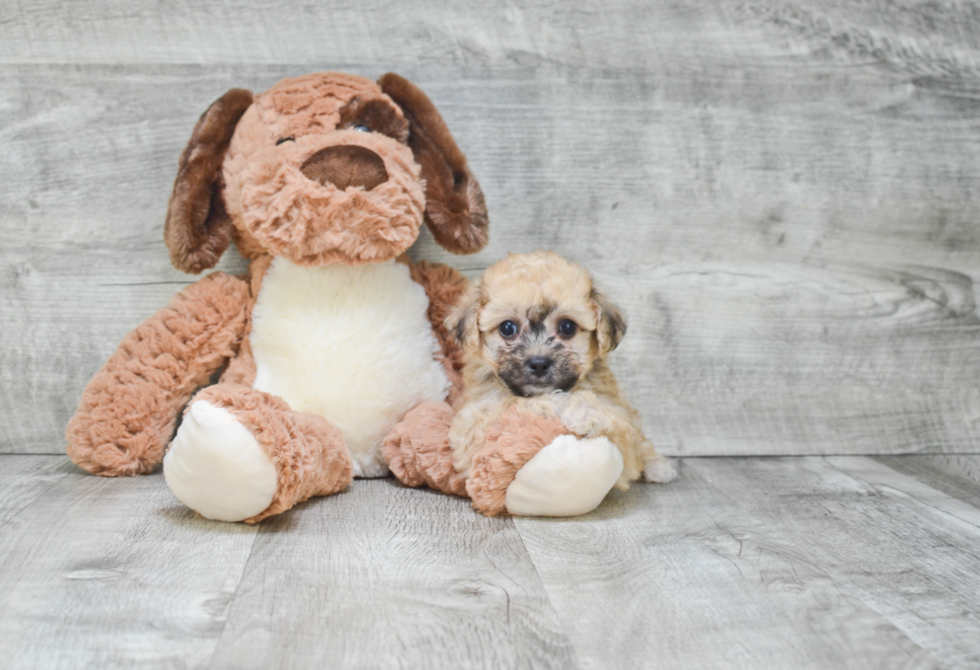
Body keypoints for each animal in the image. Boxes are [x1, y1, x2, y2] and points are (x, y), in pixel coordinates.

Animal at [450, 249, 672, 490]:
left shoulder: (622, 433)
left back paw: (657, 465)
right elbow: (510, 404)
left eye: (567, 327)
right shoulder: (471, 426)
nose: (539, 363)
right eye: (507, 328)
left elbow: (622, 427)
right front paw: (556, 403)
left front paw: (585, 411)